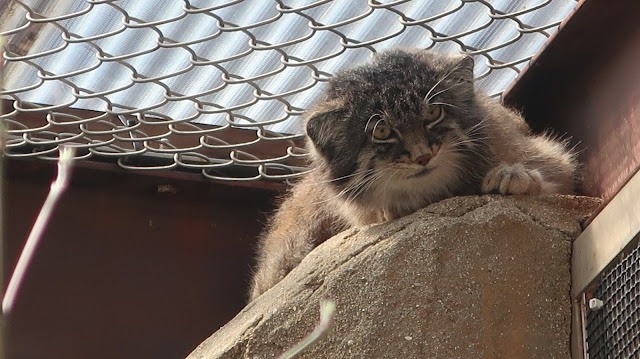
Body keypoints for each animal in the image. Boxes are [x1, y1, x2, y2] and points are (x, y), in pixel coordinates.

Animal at [248, 47, 576, 300]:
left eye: (433, 113)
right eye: (381, 131)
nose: (423, 156)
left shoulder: (545, 156)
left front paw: (515, 176)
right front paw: (388, 210)